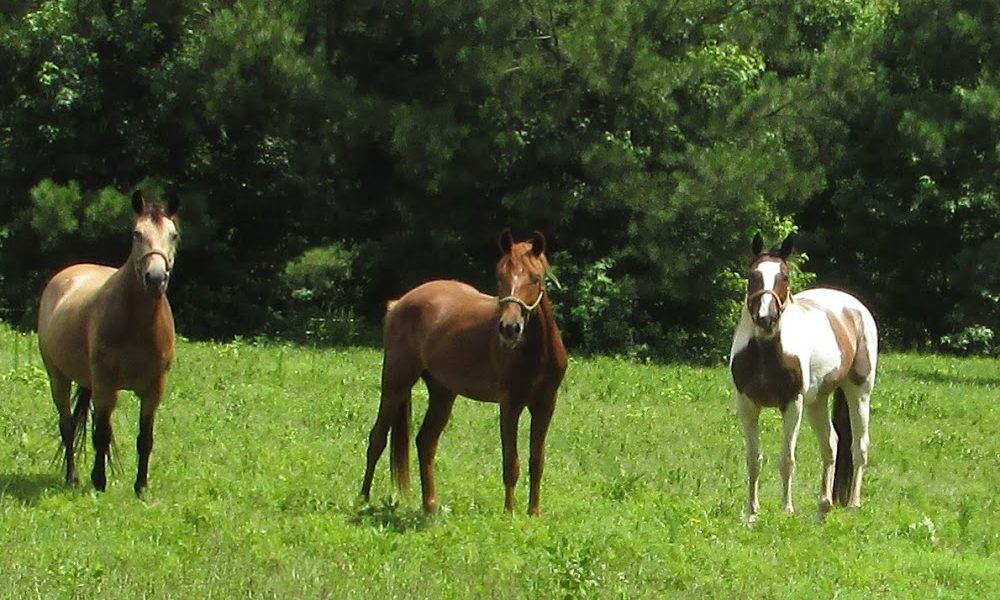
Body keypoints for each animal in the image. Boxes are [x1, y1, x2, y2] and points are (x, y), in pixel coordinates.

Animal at [37, 189, 180, 496]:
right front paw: (99, 483)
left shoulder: (154, 389)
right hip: (59, 377)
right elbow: (100, 434)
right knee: (68, 425)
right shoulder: (105, 384)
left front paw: (141, 487)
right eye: (137, 234)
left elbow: (145, 438)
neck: (138, 323)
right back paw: (73, 476)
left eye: (173, 235)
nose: (156, 278)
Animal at [360, 230, 568, 516]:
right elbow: (511, 463)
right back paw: (362, 499)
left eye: (535, 277)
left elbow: (537, 461)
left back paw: (431, 505)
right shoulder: (510, 404)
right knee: (377, 439)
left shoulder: (546, 403)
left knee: (425, 441)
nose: (509, 328)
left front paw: (533, 513)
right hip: (396, 383)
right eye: (500, 276)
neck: (535, 352)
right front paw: (510, 512)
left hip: (442, 392)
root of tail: (398, 303)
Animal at [728, 232, 876, 524]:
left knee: (859, 447)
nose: (766, 318)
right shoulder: (747, 404)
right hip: (817, 401)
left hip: (859, 391)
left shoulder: (792, 403)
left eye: (784, 276)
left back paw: (853, 505)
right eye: (753, 275)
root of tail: (855, 308)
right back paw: (823, 507)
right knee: (831, 445)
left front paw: (787, 509)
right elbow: (754, 459)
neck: (766, 351)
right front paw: (751, 513)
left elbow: (787, 460)